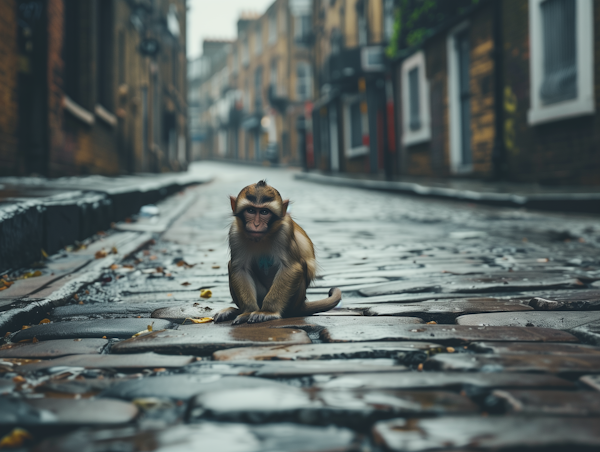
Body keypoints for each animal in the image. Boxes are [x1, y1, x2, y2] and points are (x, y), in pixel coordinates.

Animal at [214, 180, 342, 324]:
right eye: (251, 210)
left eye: (264, 212)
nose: (256, 225)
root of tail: (300, 306)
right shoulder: (234, 233)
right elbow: (240, 268)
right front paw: (247, 312)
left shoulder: (285, 232)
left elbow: (291, 267)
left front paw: (267, 311)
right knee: (231, 265)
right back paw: (235, 311)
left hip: (294, 301)